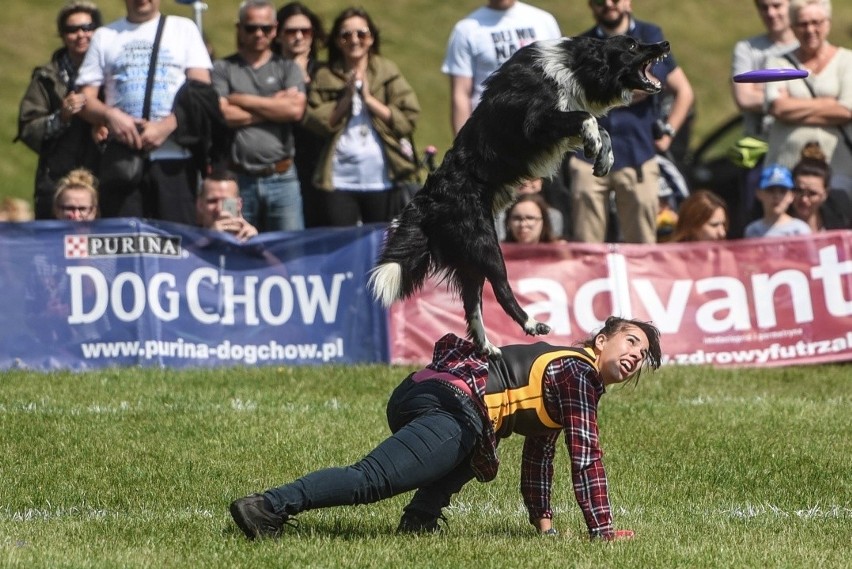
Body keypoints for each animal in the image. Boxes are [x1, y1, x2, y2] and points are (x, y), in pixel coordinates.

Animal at [370, 34, 668, 356]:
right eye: (632, 46)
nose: (664, 44)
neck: (576, 65)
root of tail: (427, 201)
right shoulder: (536, 122)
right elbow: (587, 117)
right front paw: (595, 145)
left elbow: (602, 130)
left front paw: (603, 157)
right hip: (486, 244)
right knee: (501, 289)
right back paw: (532, 325)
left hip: (469, 257)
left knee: (472, 302)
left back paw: (487, 347)